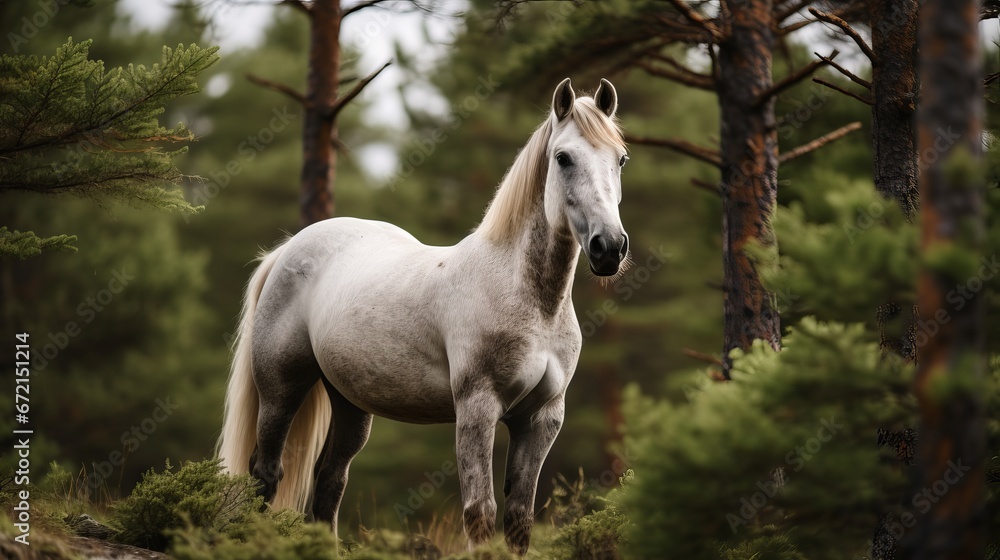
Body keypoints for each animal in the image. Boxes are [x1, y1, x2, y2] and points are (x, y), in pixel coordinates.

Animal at [219, 79, 628, 556]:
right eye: (563, 157)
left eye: (621, 158)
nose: (609, 247)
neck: (529, 301)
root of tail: (289, 248)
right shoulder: (477, 409)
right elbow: (480, 514)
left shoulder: (542, 419)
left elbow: (519, 520)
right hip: (281, 388)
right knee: (266, 473)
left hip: (351, 404)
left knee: (329, 481)